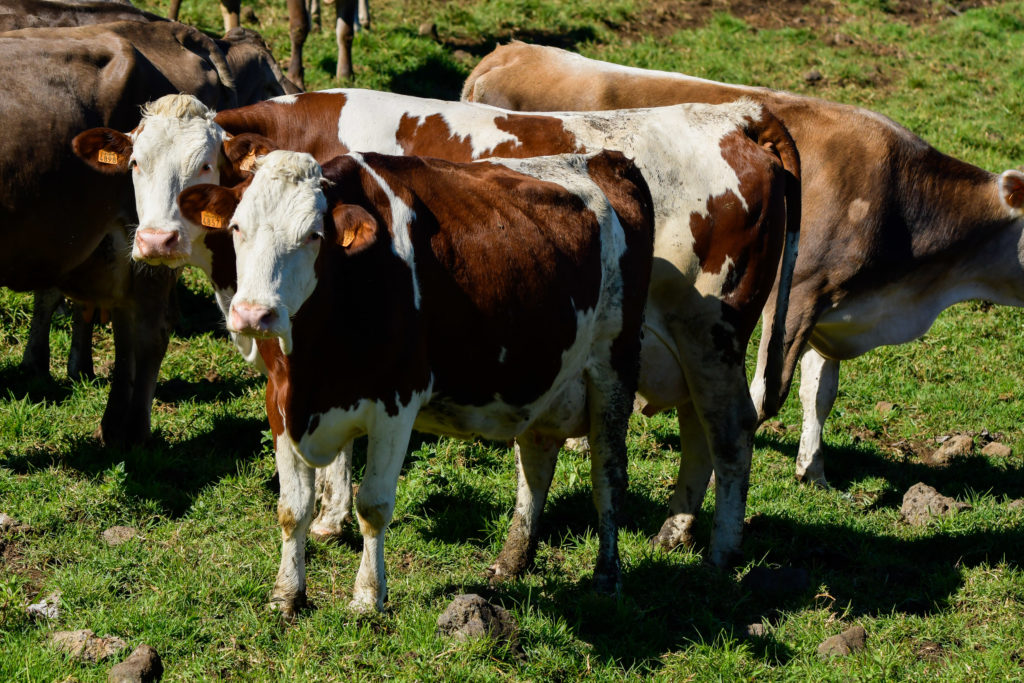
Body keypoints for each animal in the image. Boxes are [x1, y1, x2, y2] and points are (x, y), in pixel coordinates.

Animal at [0, 19, 291, 445]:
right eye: (135, 162)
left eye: (206, 164)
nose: (158, 239)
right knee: (127, 321)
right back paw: (111, 424)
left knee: (149, 328)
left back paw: (132, 427)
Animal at [74, 88, 799, 567]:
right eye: (136, 164)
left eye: (203, 166)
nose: (157, 239)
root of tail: (737, 114)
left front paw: (334, 519)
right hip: (682, 346)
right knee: (698, 428)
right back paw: (676, 530)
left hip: (711, 334)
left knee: (731, 431)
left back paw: (721, 553)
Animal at [176, 148, 655, 615]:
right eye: (237, 227)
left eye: (313, 235)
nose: (254, 315)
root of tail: (606, 160)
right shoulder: (278, 402)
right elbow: (292, 508)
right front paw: (286, 595)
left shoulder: (396, 403)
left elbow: (373, 505)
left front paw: (367, 597)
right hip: (544, 378)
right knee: (535, 469)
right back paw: (512, 560)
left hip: (613, 368)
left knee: (608, 476)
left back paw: (606, 577)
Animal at [462, 41, 1024, 487]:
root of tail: (507, 52)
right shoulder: (797, 293)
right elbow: (765, 395)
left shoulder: (834, 306)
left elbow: (820, 392)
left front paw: (813, 472)